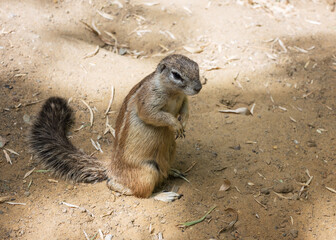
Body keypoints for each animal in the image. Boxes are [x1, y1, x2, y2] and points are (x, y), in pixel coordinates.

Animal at [28, 54, 201, 201]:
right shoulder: (148, 99)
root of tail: (111, 168)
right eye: (176, 75)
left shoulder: (183, 99)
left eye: (197, 67)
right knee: (134, 191)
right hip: (147, 172)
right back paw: (163, 195)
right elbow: (152, 114)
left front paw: (183, 123)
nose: (198, 87)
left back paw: (173, 171)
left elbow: (185, 109)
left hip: (171, 150)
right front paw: (175, 124)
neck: (174, 93)